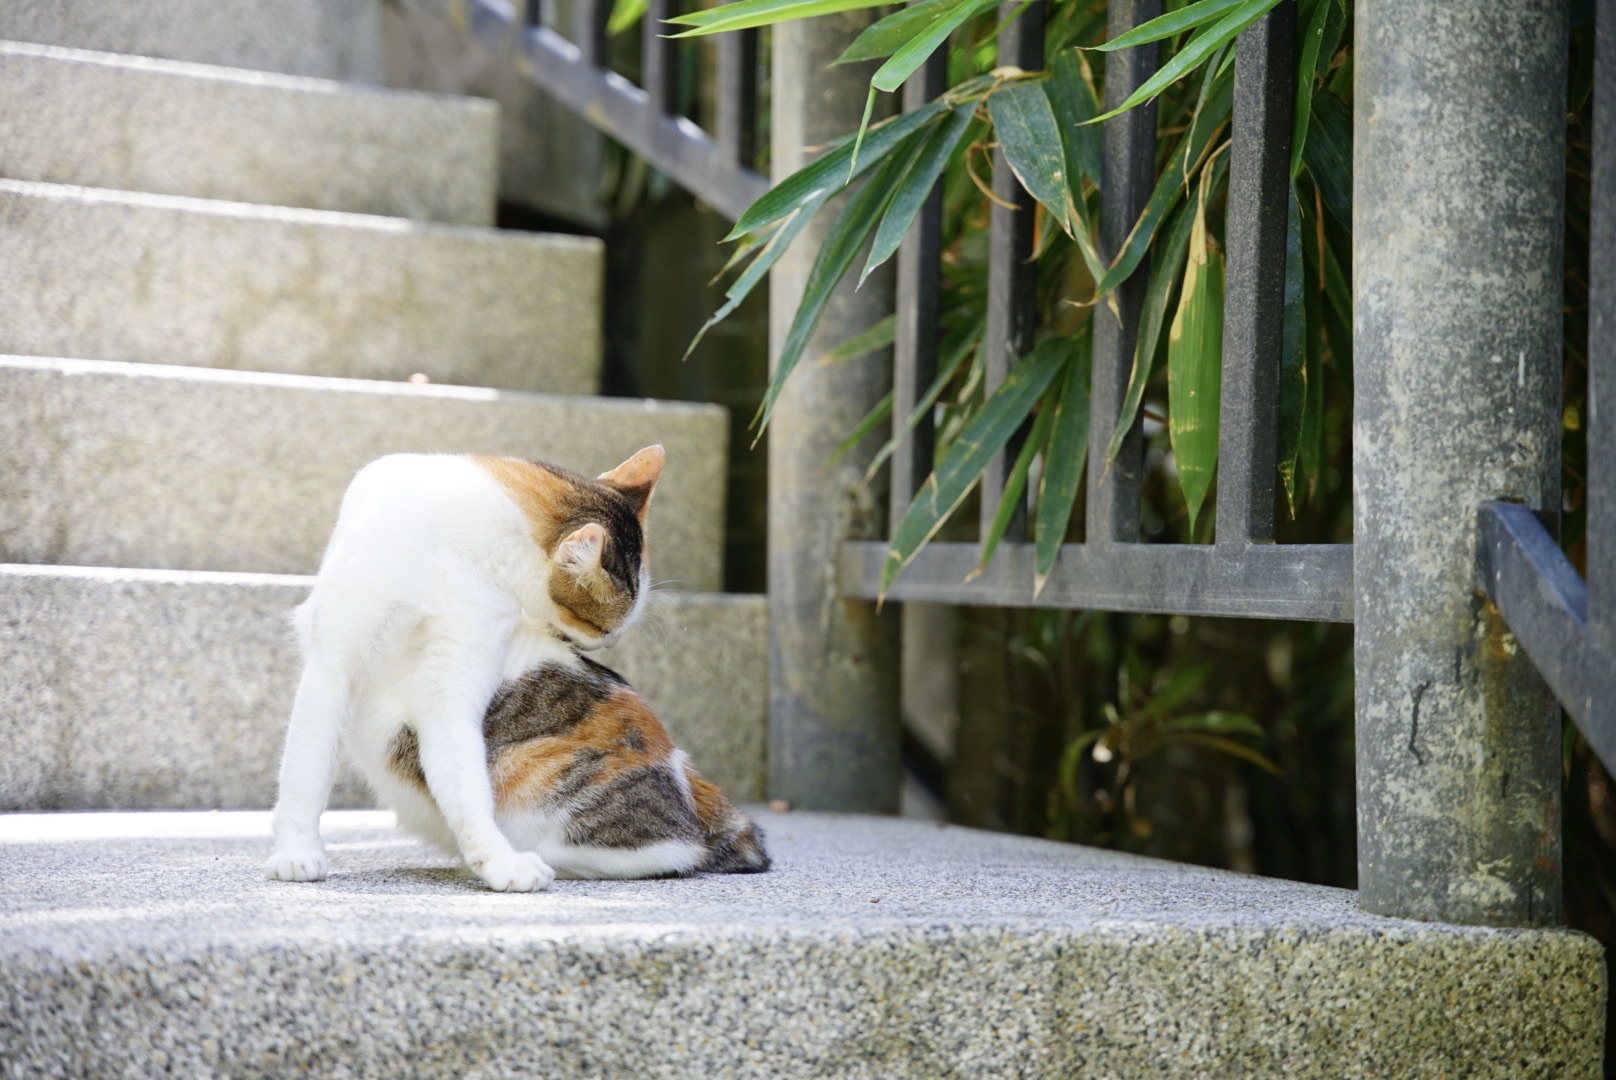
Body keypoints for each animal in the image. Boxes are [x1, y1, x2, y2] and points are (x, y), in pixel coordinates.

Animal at [263, 442, 762, 892]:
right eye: (601, 626)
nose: (611, 642)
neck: (456, 541)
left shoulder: (452, 685)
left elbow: (463, 781)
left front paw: (497, 860)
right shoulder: (332, 664)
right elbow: (306, 769)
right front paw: (297, 851)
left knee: (659, 854)